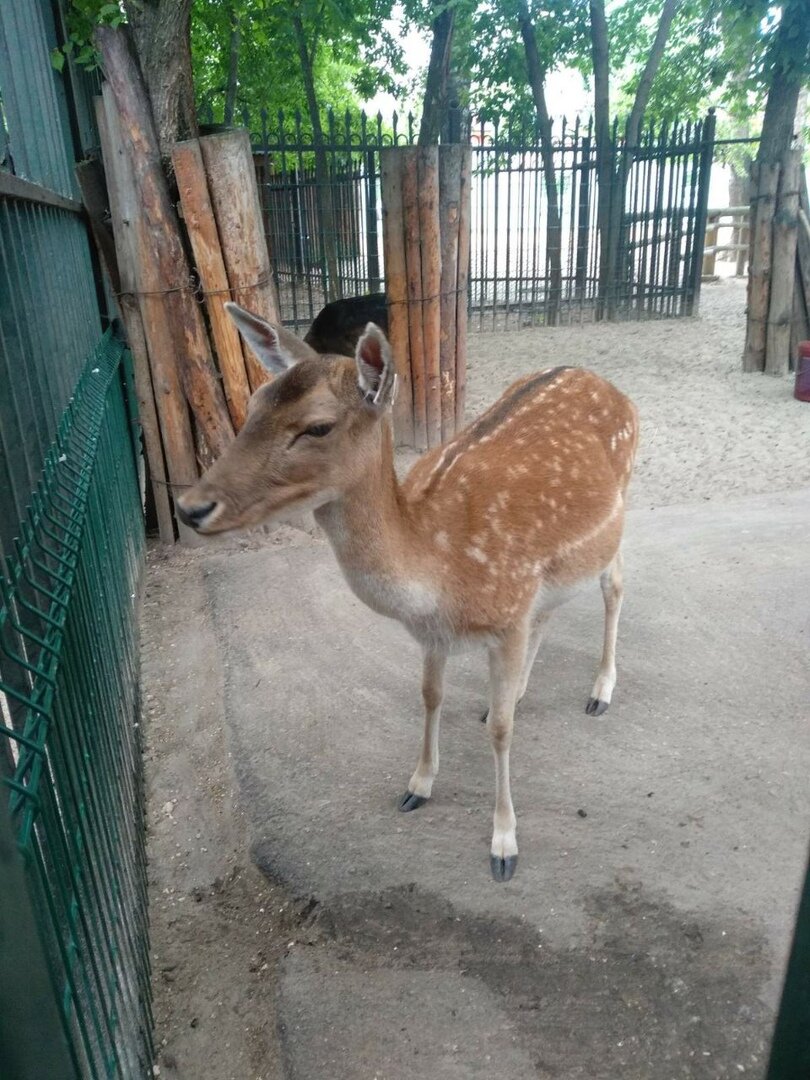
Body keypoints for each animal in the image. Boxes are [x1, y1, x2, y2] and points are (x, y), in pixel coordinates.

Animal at [177, 302, 639, 876]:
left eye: (318, 426)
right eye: (257, 402)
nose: (190, 507)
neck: (440, 571)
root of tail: (606, 383)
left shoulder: (509, 611)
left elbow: (501, 731)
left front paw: (504, 844)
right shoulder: (435, 632)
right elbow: (430, 696)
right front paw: (418, 785)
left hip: (619, 511)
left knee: (614, 586)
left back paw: (600, 692)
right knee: (551, 610)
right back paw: (519, 690)